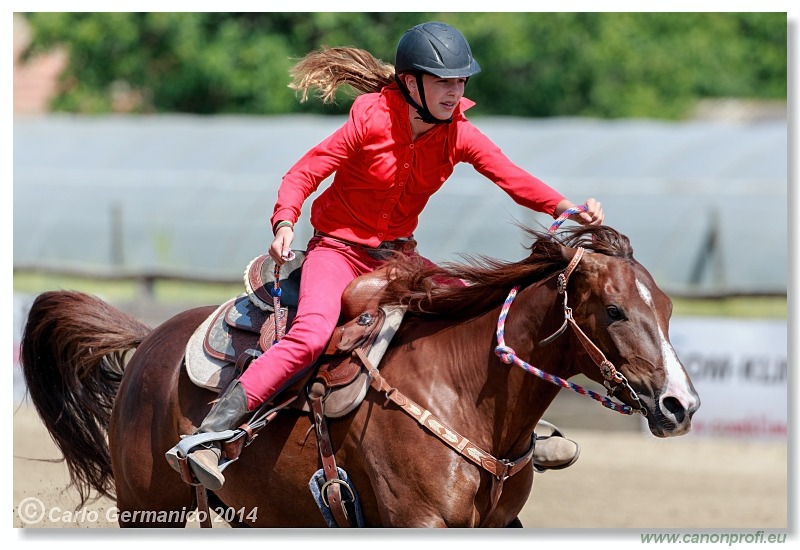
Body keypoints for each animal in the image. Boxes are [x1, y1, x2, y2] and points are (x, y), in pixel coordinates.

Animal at [20, 226, 700, 528]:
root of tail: (150, 342)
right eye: (614, 310)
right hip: (145, 508)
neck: (463, 393)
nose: (680, 405)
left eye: (668, 308)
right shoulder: (417, 524)